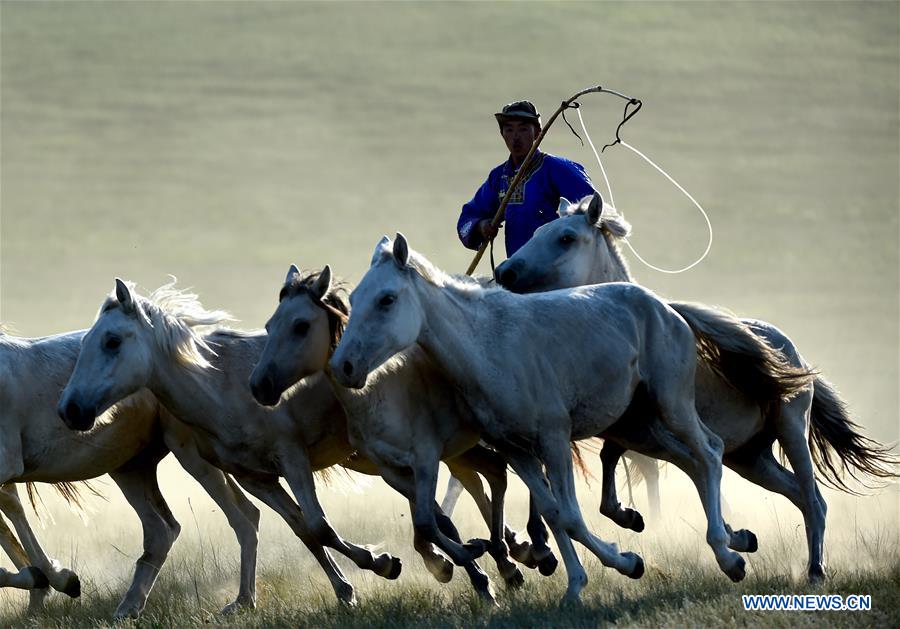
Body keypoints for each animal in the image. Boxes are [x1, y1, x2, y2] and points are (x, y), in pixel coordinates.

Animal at [0, 328, 261, 618]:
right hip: (131, 467)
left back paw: (242, 602)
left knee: (243, 519)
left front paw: (55, 579)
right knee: (163, 531)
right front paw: (43, 585)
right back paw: (129, 607)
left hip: (192, 456)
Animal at [58, 280, 403, 608]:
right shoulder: (256, 478)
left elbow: (321, 527)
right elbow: (304, 529)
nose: (70, 409)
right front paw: (346, 590)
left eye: (112, 341)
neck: (227, 390)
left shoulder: (292, 457)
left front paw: (383, 564)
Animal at [249, 265, 551, 602]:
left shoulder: (426, 459)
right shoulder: (394, 471)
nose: (259, 386)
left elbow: (428, 521)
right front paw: (469, 561)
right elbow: (434, 522)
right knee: (496, 471)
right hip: (466, 449)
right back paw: (504, 550)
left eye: (301, 326)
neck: (377, 394)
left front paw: (468, 561)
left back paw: (537, 548)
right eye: (269, 325)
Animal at [330, 233, 782, 603]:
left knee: (709, 452)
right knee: (694, 461)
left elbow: (569, 515)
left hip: (672, 403)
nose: (343, 367)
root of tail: (663, 306)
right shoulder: (517, 451)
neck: (490, 348)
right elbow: (551, 512)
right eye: (357, 299)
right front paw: (577, 584)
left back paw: (728, 556)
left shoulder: (553, 439)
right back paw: (739, 539)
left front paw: (626, 563)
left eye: (387, 299)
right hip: (639, 424)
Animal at [493, 193, 899, 581]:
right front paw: (633, 518)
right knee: (798, 494)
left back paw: (815, 570)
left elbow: (691, 473)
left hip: (790, 430)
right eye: (536, 232)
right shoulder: (631, 430)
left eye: (566, 237)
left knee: (814, 500)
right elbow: (619, 467)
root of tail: (789, 347)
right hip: (752, 458)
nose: (505, 271)